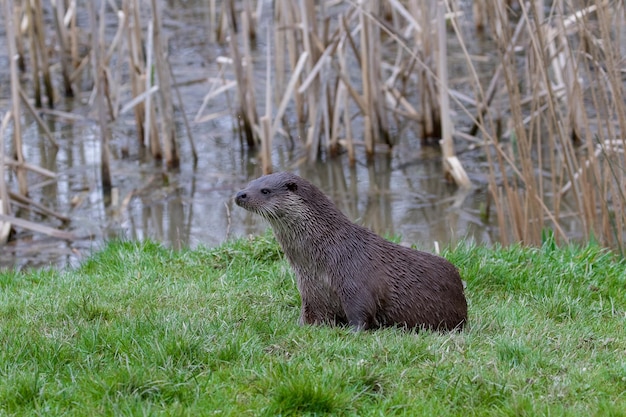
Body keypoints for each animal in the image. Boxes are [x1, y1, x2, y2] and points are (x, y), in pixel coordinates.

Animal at [234, 171, 464, 330]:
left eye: (265, 190)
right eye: (249, 183)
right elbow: (310, 317)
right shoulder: (311, 293)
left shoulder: (356, 284)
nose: (240, 194)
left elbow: (362, 315)